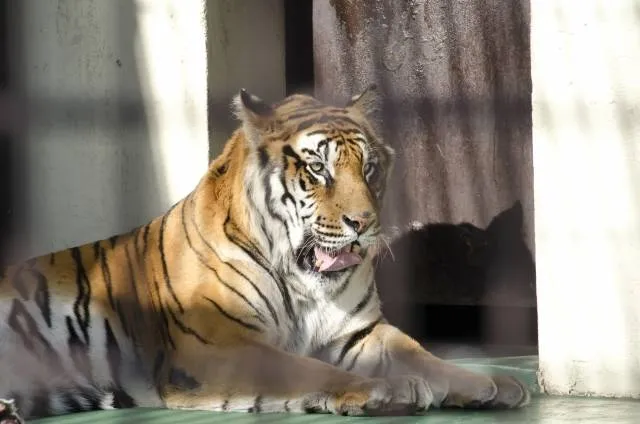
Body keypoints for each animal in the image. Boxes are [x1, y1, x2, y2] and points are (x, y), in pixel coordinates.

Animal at [0, 86, 530, 422]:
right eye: (317, 169)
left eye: (370, 168)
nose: (363, 224)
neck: (303, 278)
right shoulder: (217, 344)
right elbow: (307, 369)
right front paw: (388, 390)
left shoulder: (359, 333)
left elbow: (421, 354)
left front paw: (491, 384)